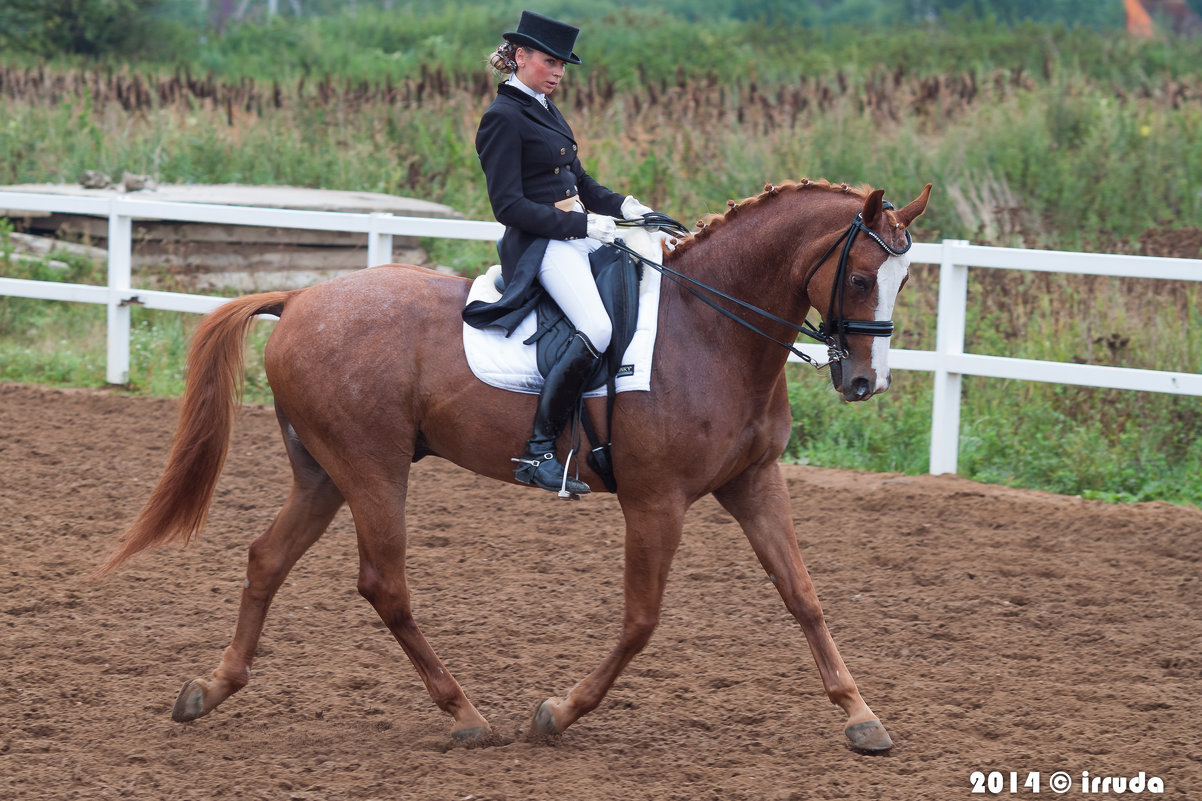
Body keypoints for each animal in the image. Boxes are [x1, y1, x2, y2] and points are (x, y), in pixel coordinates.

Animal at [98, 178, 932, 750]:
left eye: (903, 279)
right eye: (861, 277)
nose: (864, 382)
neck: (712, 329)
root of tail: (300, 298)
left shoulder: (752, 481)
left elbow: (803, 594)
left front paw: (861, 715)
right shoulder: (655, 501)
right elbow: (641, 620)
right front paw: (557, 712)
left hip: (325, 474)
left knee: (267, 558)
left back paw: (211, 688)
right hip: (372, 470)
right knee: (384, 584)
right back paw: (467, 714)